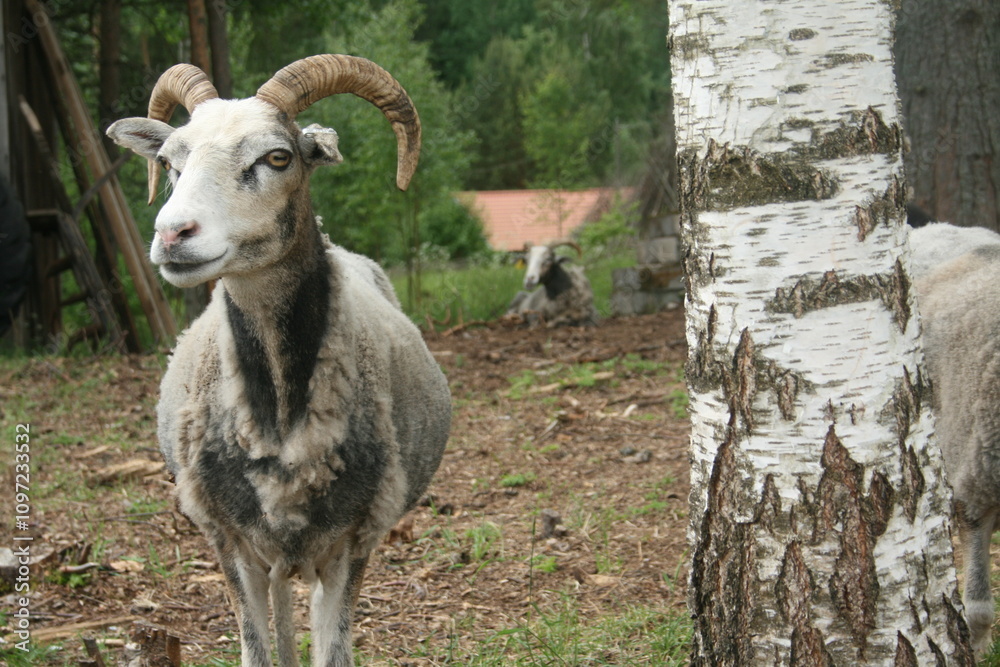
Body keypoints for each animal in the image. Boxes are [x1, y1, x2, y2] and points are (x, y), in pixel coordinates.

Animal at [107, 55, 451, 667]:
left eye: (277, 157)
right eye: (169, 162)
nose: (172, 233)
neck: (281, 415)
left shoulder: (352, 543)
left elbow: (333, 650)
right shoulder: (230, 542)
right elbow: (257, 648)